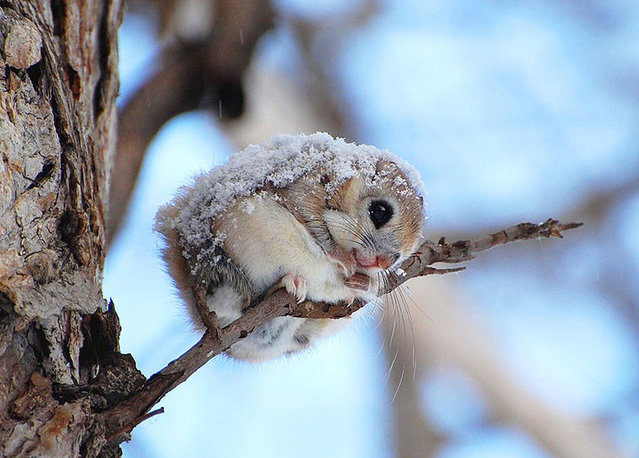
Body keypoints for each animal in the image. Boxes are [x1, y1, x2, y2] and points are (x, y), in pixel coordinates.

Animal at [154, 132, 424, 362]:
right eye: (379, 211)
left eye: (404, 254)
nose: (385, 262)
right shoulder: (302, 189)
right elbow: (317, 228)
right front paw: (342, 258)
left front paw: (366, 282)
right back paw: (286, 284)